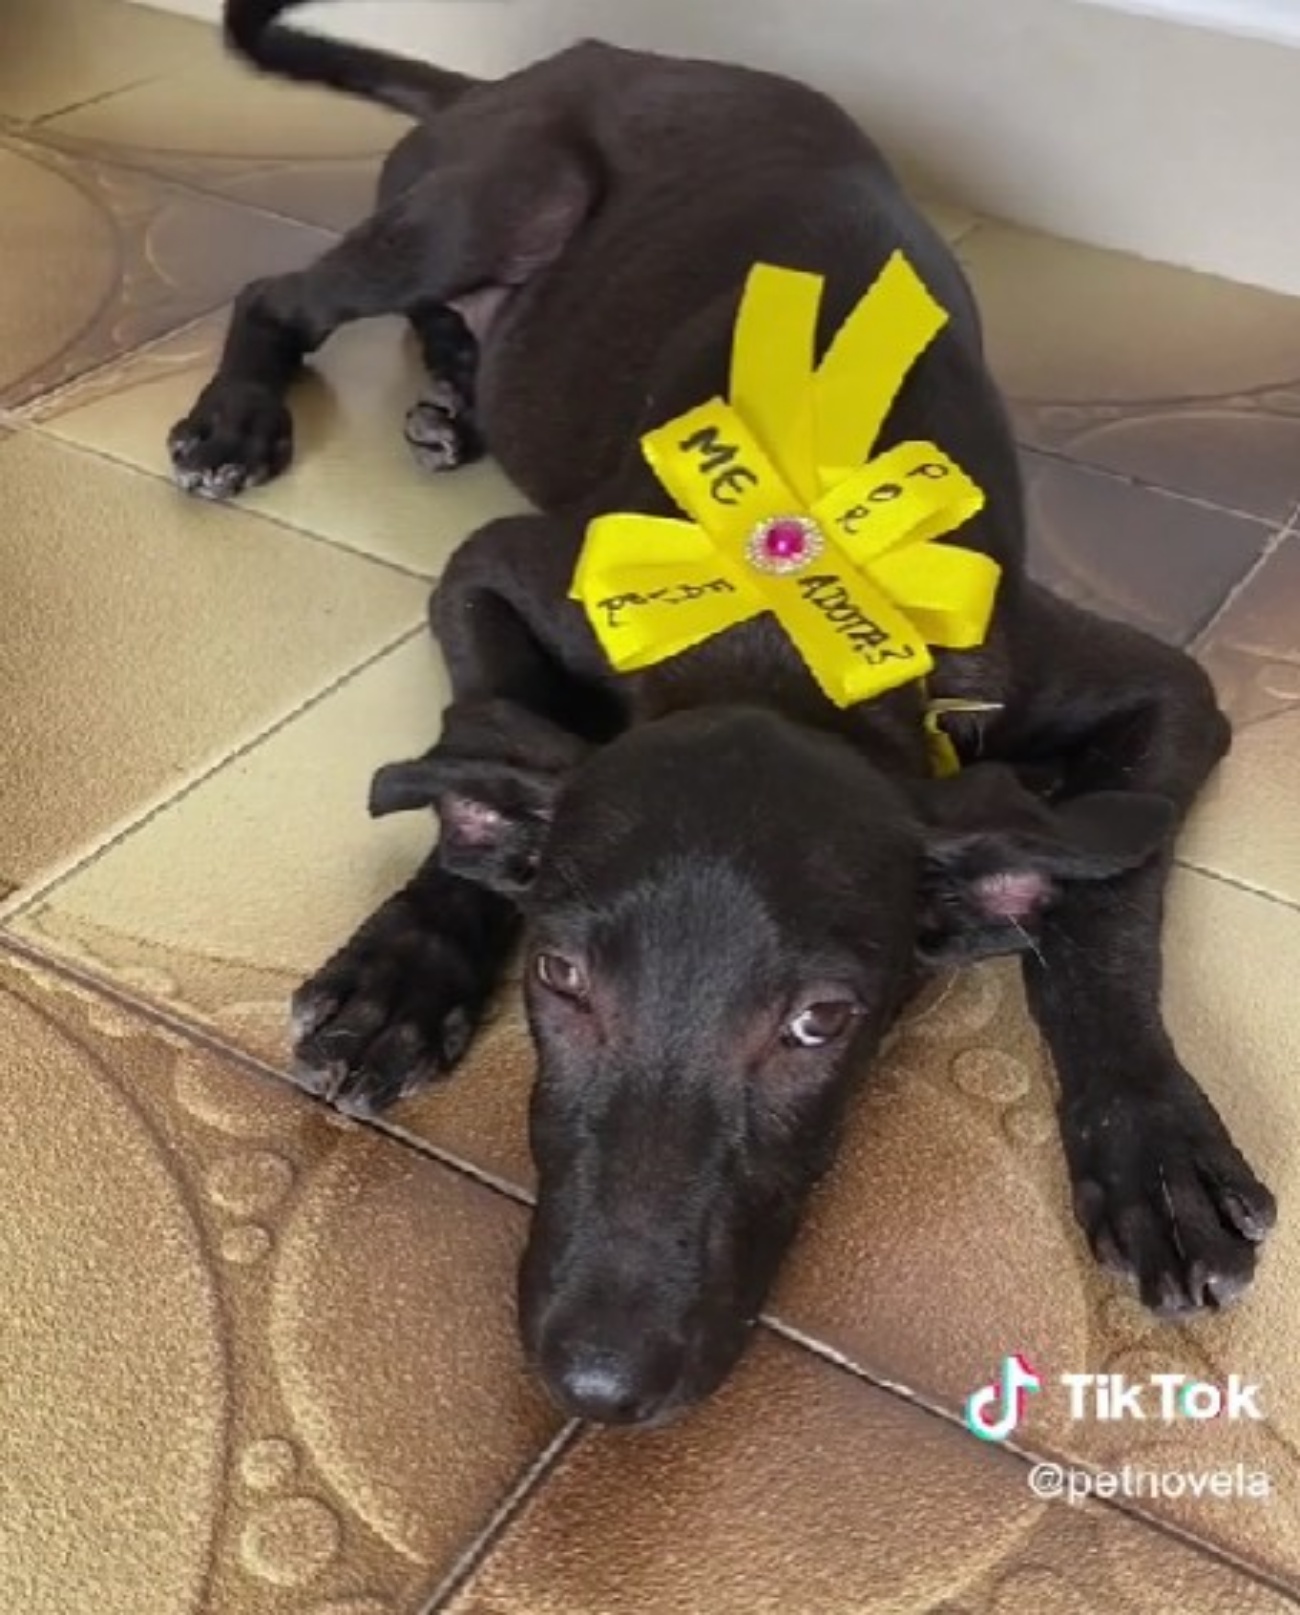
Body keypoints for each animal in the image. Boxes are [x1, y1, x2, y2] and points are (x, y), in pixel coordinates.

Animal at [167, 0, 1272, 1421]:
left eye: (819, 1023)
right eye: (561, 978)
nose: (597, 1380)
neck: (781, 625)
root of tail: (585, 59)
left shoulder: (1159, 693)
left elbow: (1102, 904)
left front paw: (1152, 1142)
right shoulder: (496, 573)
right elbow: (488, 737)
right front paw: (408, 959)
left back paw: (453, 399)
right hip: (497, 193)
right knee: (286, 297)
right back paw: (241, 417)